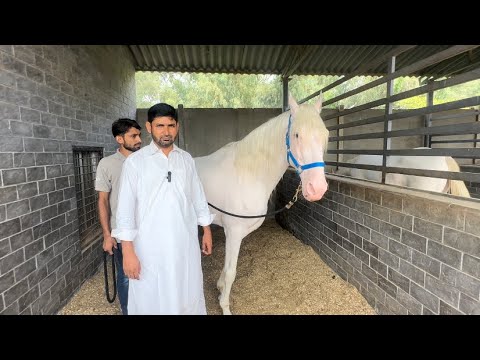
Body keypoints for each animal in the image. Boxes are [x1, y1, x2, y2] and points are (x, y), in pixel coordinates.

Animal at [195, 94, 330, 314]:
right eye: (297, 135)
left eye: (325, 135)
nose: (316, 188)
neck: (246, 174)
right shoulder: (233, 231)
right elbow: (231, 271)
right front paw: (225, 306)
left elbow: (226, 268)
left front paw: (220, 288)